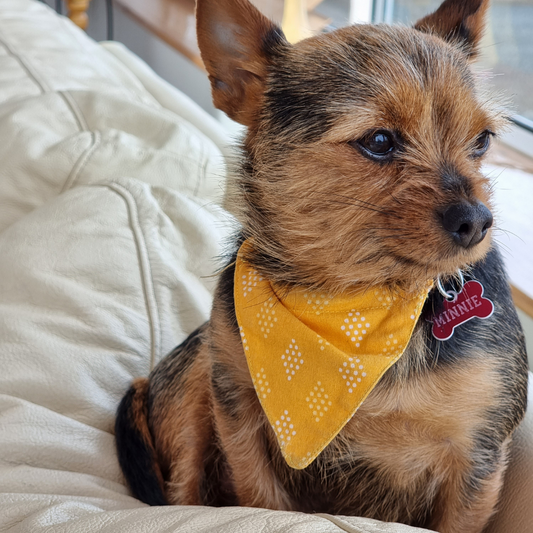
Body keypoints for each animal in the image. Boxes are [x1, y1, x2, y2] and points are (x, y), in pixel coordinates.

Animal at [113, 2, 528, 528]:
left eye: (482, 141)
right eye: (379, 141)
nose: (477, 221)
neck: (351, 298)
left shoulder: (477, 455)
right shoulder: (238, 413)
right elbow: (259, 500)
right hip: (196, 375)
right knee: (182, 493)